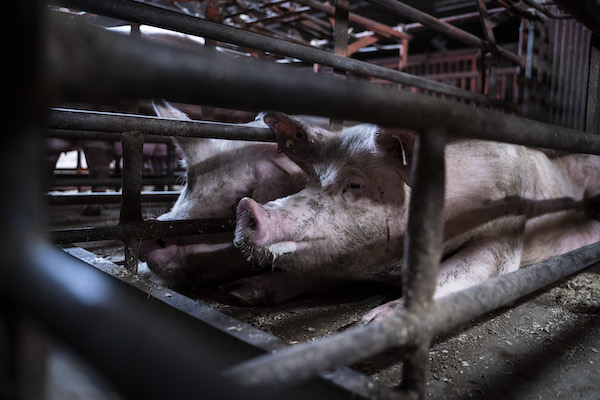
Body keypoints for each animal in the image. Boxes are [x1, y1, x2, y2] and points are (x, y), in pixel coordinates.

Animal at [233, 112, 600, 322]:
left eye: (355, 184)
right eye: (311, 179)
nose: (247, 207)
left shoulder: (507, 226)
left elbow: (463, 271)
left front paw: (373, 322)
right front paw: (242, 292)